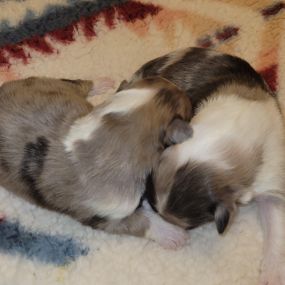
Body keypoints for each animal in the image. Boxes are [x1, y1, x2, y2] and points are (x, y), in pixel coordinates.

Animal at [0, 76, 192, 247]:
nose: (184, 91)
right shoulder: (104, 216)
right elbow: (141, 221)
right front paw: (173, 234)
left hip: (45, 83)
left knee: (74, 83)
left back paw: (102, 83)